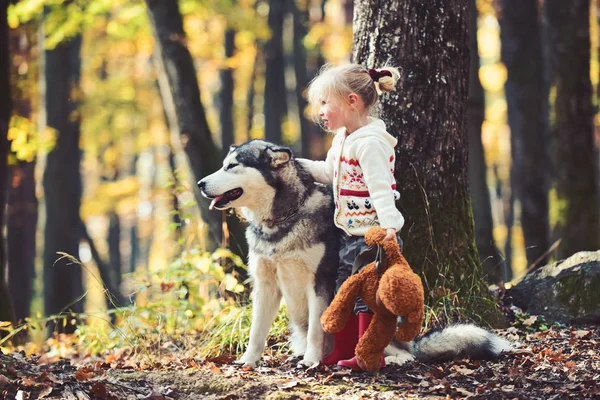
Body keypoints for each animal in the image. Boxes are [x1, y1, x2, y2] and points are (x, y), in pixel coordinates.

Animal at [198, 141, 510, 368]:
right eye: (223, 165)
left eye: (232, 166)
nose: (200, 183)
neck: (282, 220)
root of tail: (412, 341)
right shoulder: (265, 284)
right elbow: (256, 331)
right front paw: (248, 361)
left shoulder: (320, 282)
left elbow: (317, 329)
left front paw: (312, 361)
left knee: (399, 347)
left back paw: (391, 357)